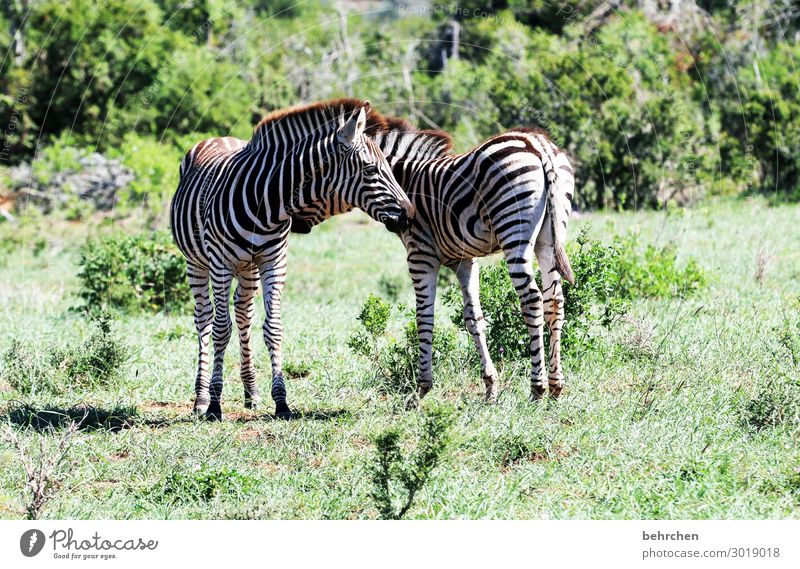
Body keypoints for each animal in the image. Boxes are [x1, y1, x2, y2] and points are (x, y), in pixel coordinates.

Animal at [171, 97, 416, 420]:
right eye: (370, 169)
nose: (410, 215)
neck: (266, 205)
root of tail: (218, 137)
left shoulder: (274, 261)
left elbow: (273, 328)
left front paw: (281, 401)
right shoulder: (220, 263)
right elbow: (221, 330)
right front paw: (214, 405)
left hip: (248, 267)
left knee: (243, 314)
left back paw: (251, 391)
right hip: (197, 262)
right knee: (205, 320)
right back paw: (200, 397)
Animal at [290, 118, 572, 404]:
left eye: (311, 175)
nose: (295, 223)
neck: (400, 179)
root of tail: (536, 144)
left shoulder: (420, 254)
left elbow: (424, 318)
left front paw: (421, 389)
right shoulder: (464, 259)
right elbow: (473, 317)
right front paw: (490, 387)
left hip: (513, 230)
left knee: (532, 299)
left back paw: (537, 388)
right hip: (548, 239)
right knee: (554, 300)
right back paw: (556, 385)